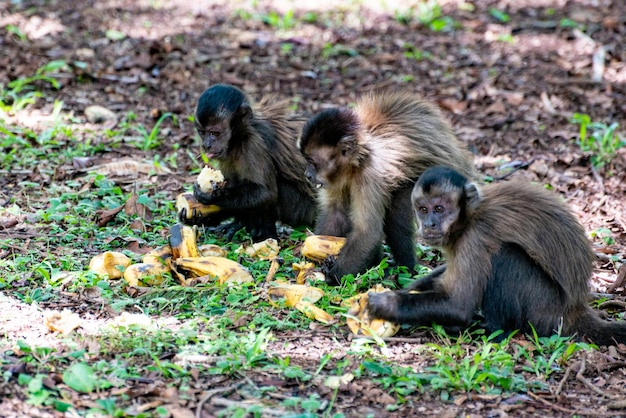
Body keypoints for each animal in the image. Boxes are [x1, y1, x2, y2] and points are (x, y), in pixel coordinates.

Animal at [180, 84, 316, 242]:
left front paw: (214, 197)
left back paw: (263, 235)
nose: (206, 145)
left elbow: (265, 193)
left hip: (303, 210)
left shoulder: (253, 144)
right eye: (202, 132)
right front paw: (200, 218)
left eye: (214, 133)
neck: (239, 138)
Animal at [298, 92, 472, 286]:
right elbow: (335, 214)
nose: (307, 174)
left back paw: (405, 270)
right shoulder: (336, 177)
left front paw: (330, 275)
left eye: (312, 162)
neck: (358, 160)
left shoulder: (370, 174)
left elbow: (367, 232)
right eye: (306, 161)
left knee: (396, 218)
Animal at [366, 167, 624, 346]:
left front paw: (388, 303)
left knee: (504, 256)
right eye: (423, 209)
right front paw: (406, 289)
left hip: (547, 309)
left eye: (439, 209)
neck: (469, 216)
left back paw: (492, 330)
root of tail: (575, 308)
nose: (429, 224)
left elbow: (458, 306)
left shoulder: (475, 237)